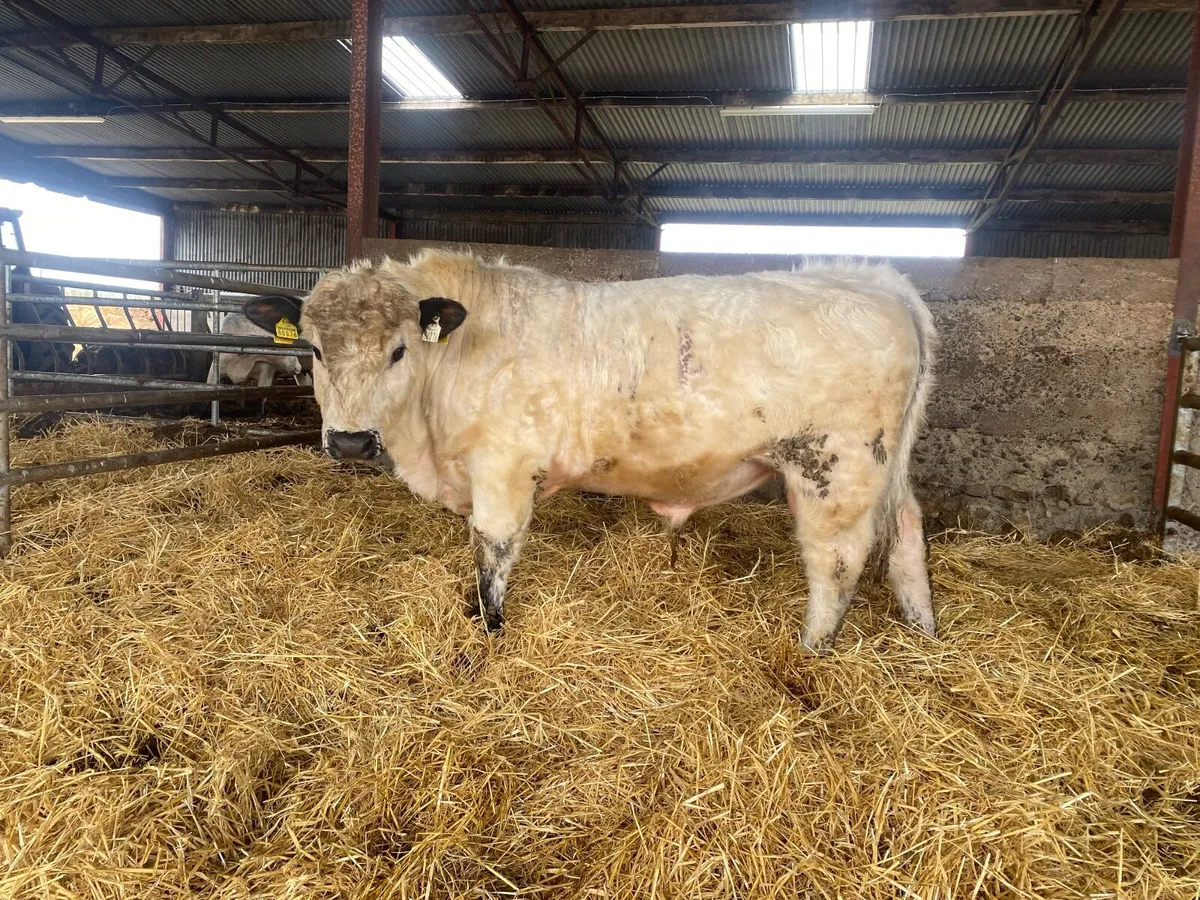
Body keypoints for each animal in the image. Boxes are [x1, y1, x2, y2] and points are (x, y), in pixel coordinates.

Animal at [243, 251, 936, 652]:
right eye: (313, 350)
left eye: (398, 350)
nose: (350, 441)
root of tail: (875, 277)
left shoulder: (504, 468)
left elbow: (492, 555)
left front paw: (488, 633)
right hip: (884, 468)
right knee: (906, 531)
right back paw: (923, 630)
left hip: (835, 466)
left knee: (837, 561)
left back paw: (810, 651)